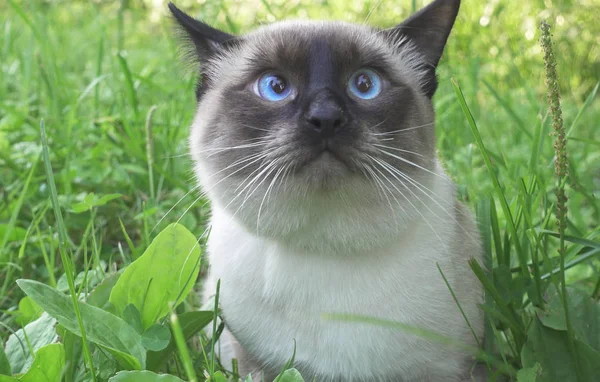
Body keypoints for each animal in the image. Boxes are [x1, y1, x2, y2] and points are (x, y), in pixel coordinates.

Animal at [168, 0, 482, 380]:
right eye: (275, 86)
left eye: (365, 84)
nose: (326, 117)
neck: (323, 245)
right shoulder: (247, 360)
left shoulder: (454, 367)